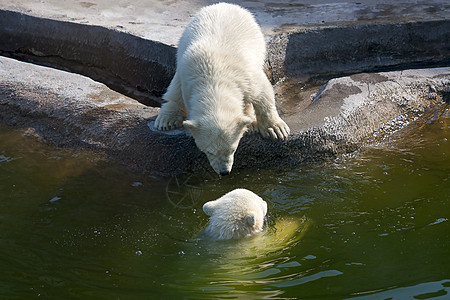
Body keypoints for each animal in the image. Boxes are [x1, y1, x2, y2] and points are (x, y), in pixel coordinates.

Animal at [154, 2, 288, 176]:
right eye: (208, 151)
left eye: (233, 149)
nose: (224, 172)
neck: (215, 79)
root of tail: (224, 4)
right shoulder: (188, 78)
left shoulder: (247, 75)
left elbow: (263, 93)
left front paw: (276, 130)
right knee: (174, 89)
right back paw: (166, 120)